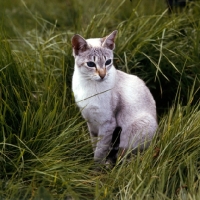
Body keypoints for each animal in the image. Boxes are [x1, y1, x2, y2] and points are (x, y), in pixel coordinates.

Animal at [71, 29, 157, 164]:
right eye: (91, 64)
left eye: (108, 62)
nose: (102, 75)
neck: (88, 85)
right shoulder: (91, 121)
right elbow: (94, 144)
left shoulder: (107, 123)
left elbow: (100, 151)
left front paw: (95, 168)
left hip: (137, 128)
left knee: (127, 155)